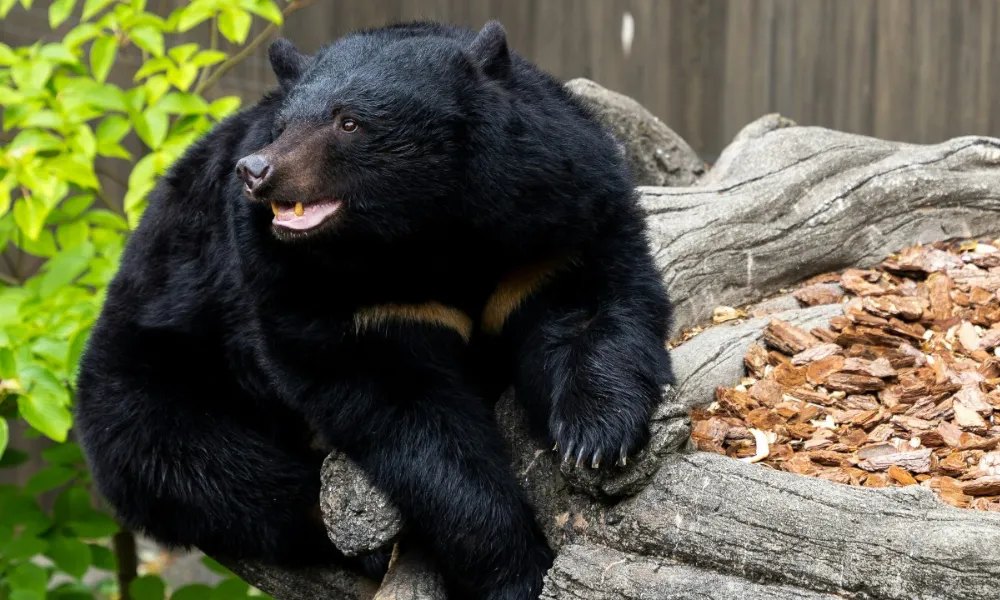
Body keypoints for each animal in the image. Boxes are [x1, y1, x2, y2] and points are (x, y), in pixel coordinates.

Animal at [73, 19, 673, 600]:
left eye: (349, 122)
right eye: (283, 125)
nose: (256, 170)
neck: (424, 233)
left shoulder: (551, 219)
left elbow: (590, 300)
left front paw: (596, 437)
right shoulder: (325, 294)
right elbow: (409, 420)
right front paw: (516, 571)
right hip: (152, 374)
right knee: (211, 470)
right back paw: (365, 549)